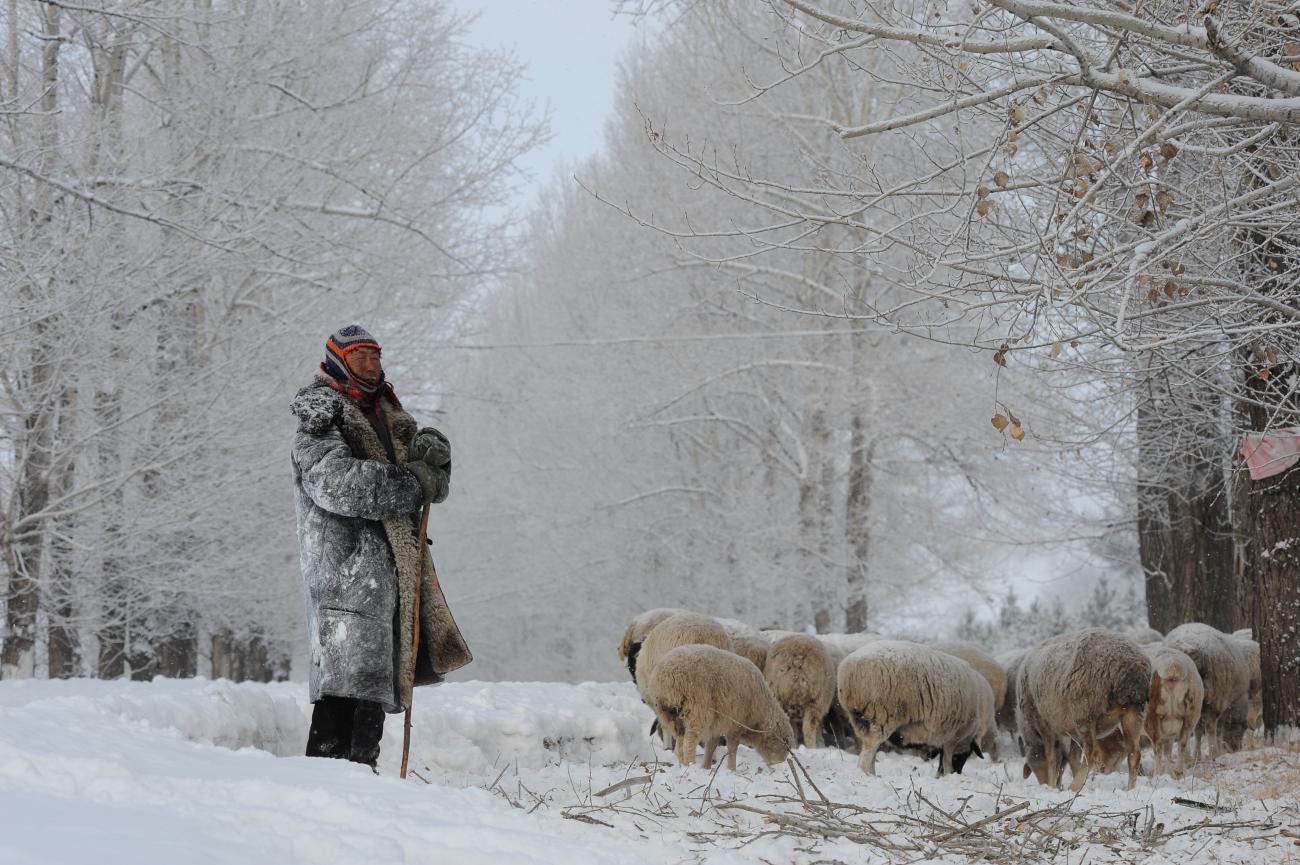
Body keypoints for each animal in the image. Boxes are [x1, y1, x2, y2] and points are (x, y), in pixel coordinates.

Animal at [647, 639, 795, 770]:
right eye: (786, 748)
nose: (779, 763)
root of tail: (668, 676)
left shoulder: (717, 724)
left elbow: (712, 746)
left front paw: (706, 766)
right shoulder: (736, 724)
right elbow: (732, 748)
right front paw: (732, 769)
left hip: (668, 713)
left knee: (680, 738)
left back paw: (682, 763)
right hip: (697, 709)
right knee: (690, 739)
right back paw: (689, 763)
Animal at [832, 639, 982, 775]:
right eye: (965, 756)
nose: (958, 773)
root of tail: (849, 670)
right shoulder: (952, 738)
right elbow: (946, 761)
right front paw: (947, 775)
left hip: (859, 718)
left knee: (868, 747)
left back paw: (871, 774)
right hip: (882, 715)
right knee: (870, 747)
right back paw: (866, 773)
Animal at [1013, 626, 1149, 790]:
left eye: (1036, 768)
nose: (1045, 784)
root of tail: (1131, 667)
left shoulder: (1044, 724)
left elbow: (1052, 757)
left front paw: (1052, 786)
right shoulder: (1071, 732)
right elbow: (1072, 757)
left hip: (1085, 712)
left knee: (1092, 753)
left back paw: (1074, 787)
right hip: (1134, 712)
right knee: (1134, 754)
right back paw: (1130, 789)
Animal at [1144, 639, 1201, 775]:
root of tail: (1173, 665)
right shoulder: (1169, 728)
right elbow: (1168, 750)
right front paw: (1169, 772)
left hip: (1152, 715)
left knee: (1157, 746)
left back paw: (1157, 774)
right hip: (1190, 715)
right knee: (1182, 743)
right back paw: (1178, 771)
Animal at [1170, 621, 1248, 754]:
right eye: (1242, 727)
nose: (1236, 748)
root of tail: (1188, 648)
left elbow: (1198, 730)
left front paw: (1197, 754)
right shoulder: (1222, 704)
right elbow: (1217, 729)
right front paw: (1218, 749)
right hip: (1214, 695)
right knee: (1210, 726)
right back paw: (1214, 753)